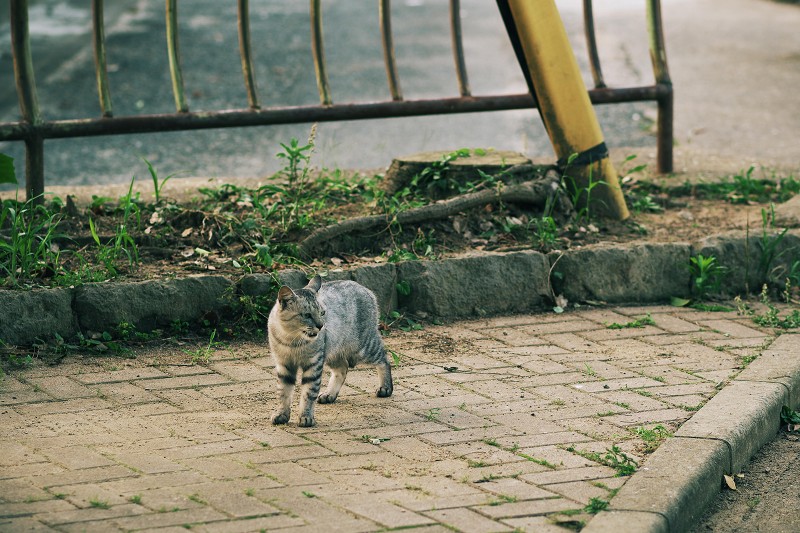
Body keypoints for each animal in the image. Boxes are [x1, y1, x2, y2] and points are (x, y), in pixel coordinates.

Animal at [268, 276, 394, 426]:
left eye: (322, 313)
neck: (292, 341)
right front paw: (281, 414)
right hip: (333, 352)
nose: (321, 325)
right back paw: (330, 394)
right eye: (307, 315)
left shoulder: (314, 364)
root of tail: (365, 289)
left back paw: (385, 388)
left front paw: (306, 417)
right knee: (342, 368)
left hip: (363, 347)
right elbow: (283, 393)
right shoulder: (284, 365)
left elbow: (308, 393)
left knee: (384, 359)